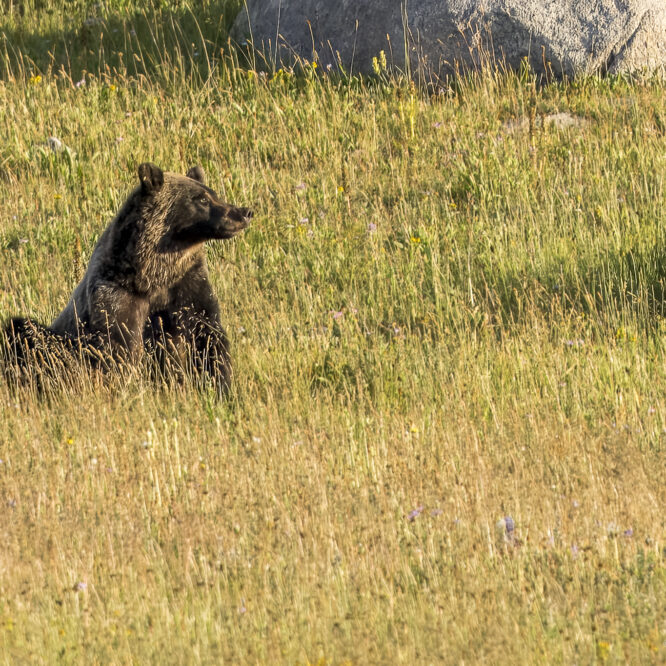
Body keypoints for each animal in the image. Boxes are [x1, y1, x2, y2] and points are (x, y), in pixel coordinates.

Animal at [2, 162, 252, 393]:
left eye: (214, 194)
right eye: (201, 199)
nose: (244, 212)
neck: (152, 276)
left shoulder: (187, 285)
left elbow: (206, 335)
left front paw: (218, 384)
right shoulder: (116, 296)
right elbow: (118, 349)